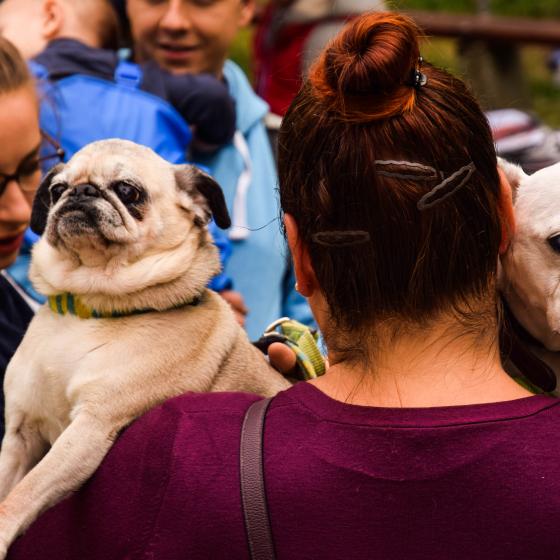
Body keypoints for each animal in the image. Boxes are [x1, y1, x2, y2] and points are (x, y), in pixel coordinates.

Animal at [0, 139, 290, 556]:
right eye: (56, 190)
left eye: (128, 191)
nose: (81, 191)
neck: (90, 306)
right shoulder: (20, 434)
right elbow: (7, 485)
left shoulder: (90, 428)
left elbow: (24, 493)